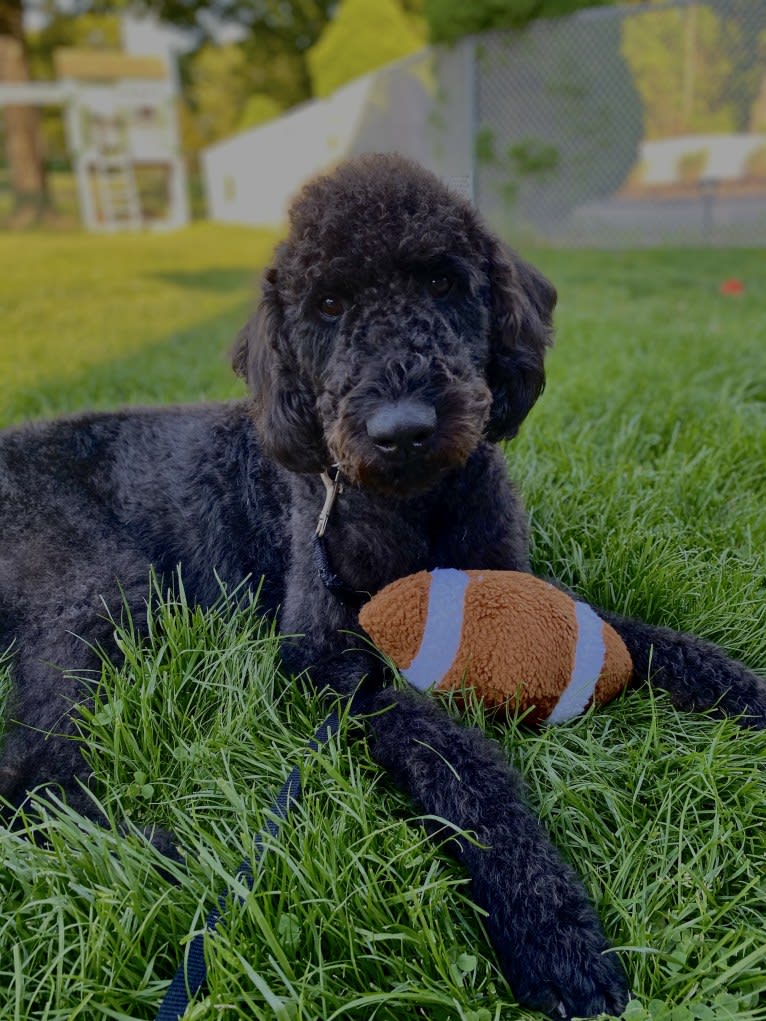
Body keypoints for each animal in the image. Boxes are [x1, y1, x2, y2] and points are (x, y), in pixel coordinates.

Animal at [1, 153, 766, 1021]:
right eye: (330, 304)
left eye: (441, 281)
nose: (402, 429)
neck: (413, 510)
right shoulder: (330, 659)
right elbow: (454, 753)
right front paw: (547, 920)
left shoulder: (517, 581)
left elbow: (644, 636)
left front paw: (743, 688)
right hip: (98, 590)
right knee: (33, 777)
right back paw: (156, 857)